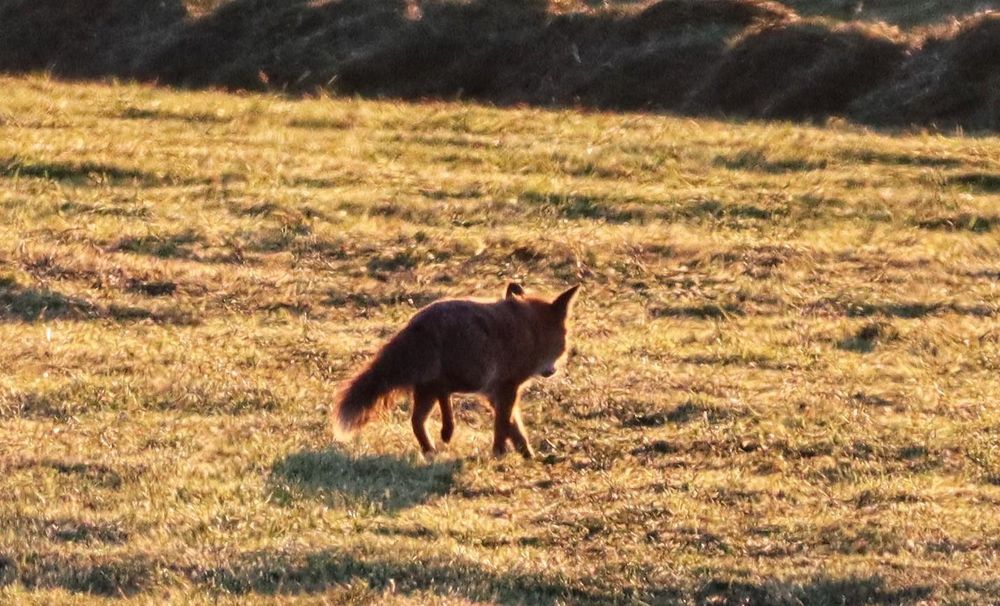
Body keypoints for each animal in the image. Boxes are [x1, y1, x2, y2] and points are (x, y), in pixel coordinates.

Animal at [332, 283, 580, 459]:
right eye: (564, 341)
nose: (552, 371)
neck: (529, 331)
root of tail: (417, 324)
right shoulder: (506, 386)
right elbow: (503, 424)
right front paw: (499, 453)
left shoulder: (494, 392)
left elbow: (512, 425)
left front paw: (527, 454)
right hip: (467, 375)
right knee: (442, 392)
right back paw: (446, 430)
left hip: (429, 388)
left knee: (417, 419)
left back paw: (430, 448)